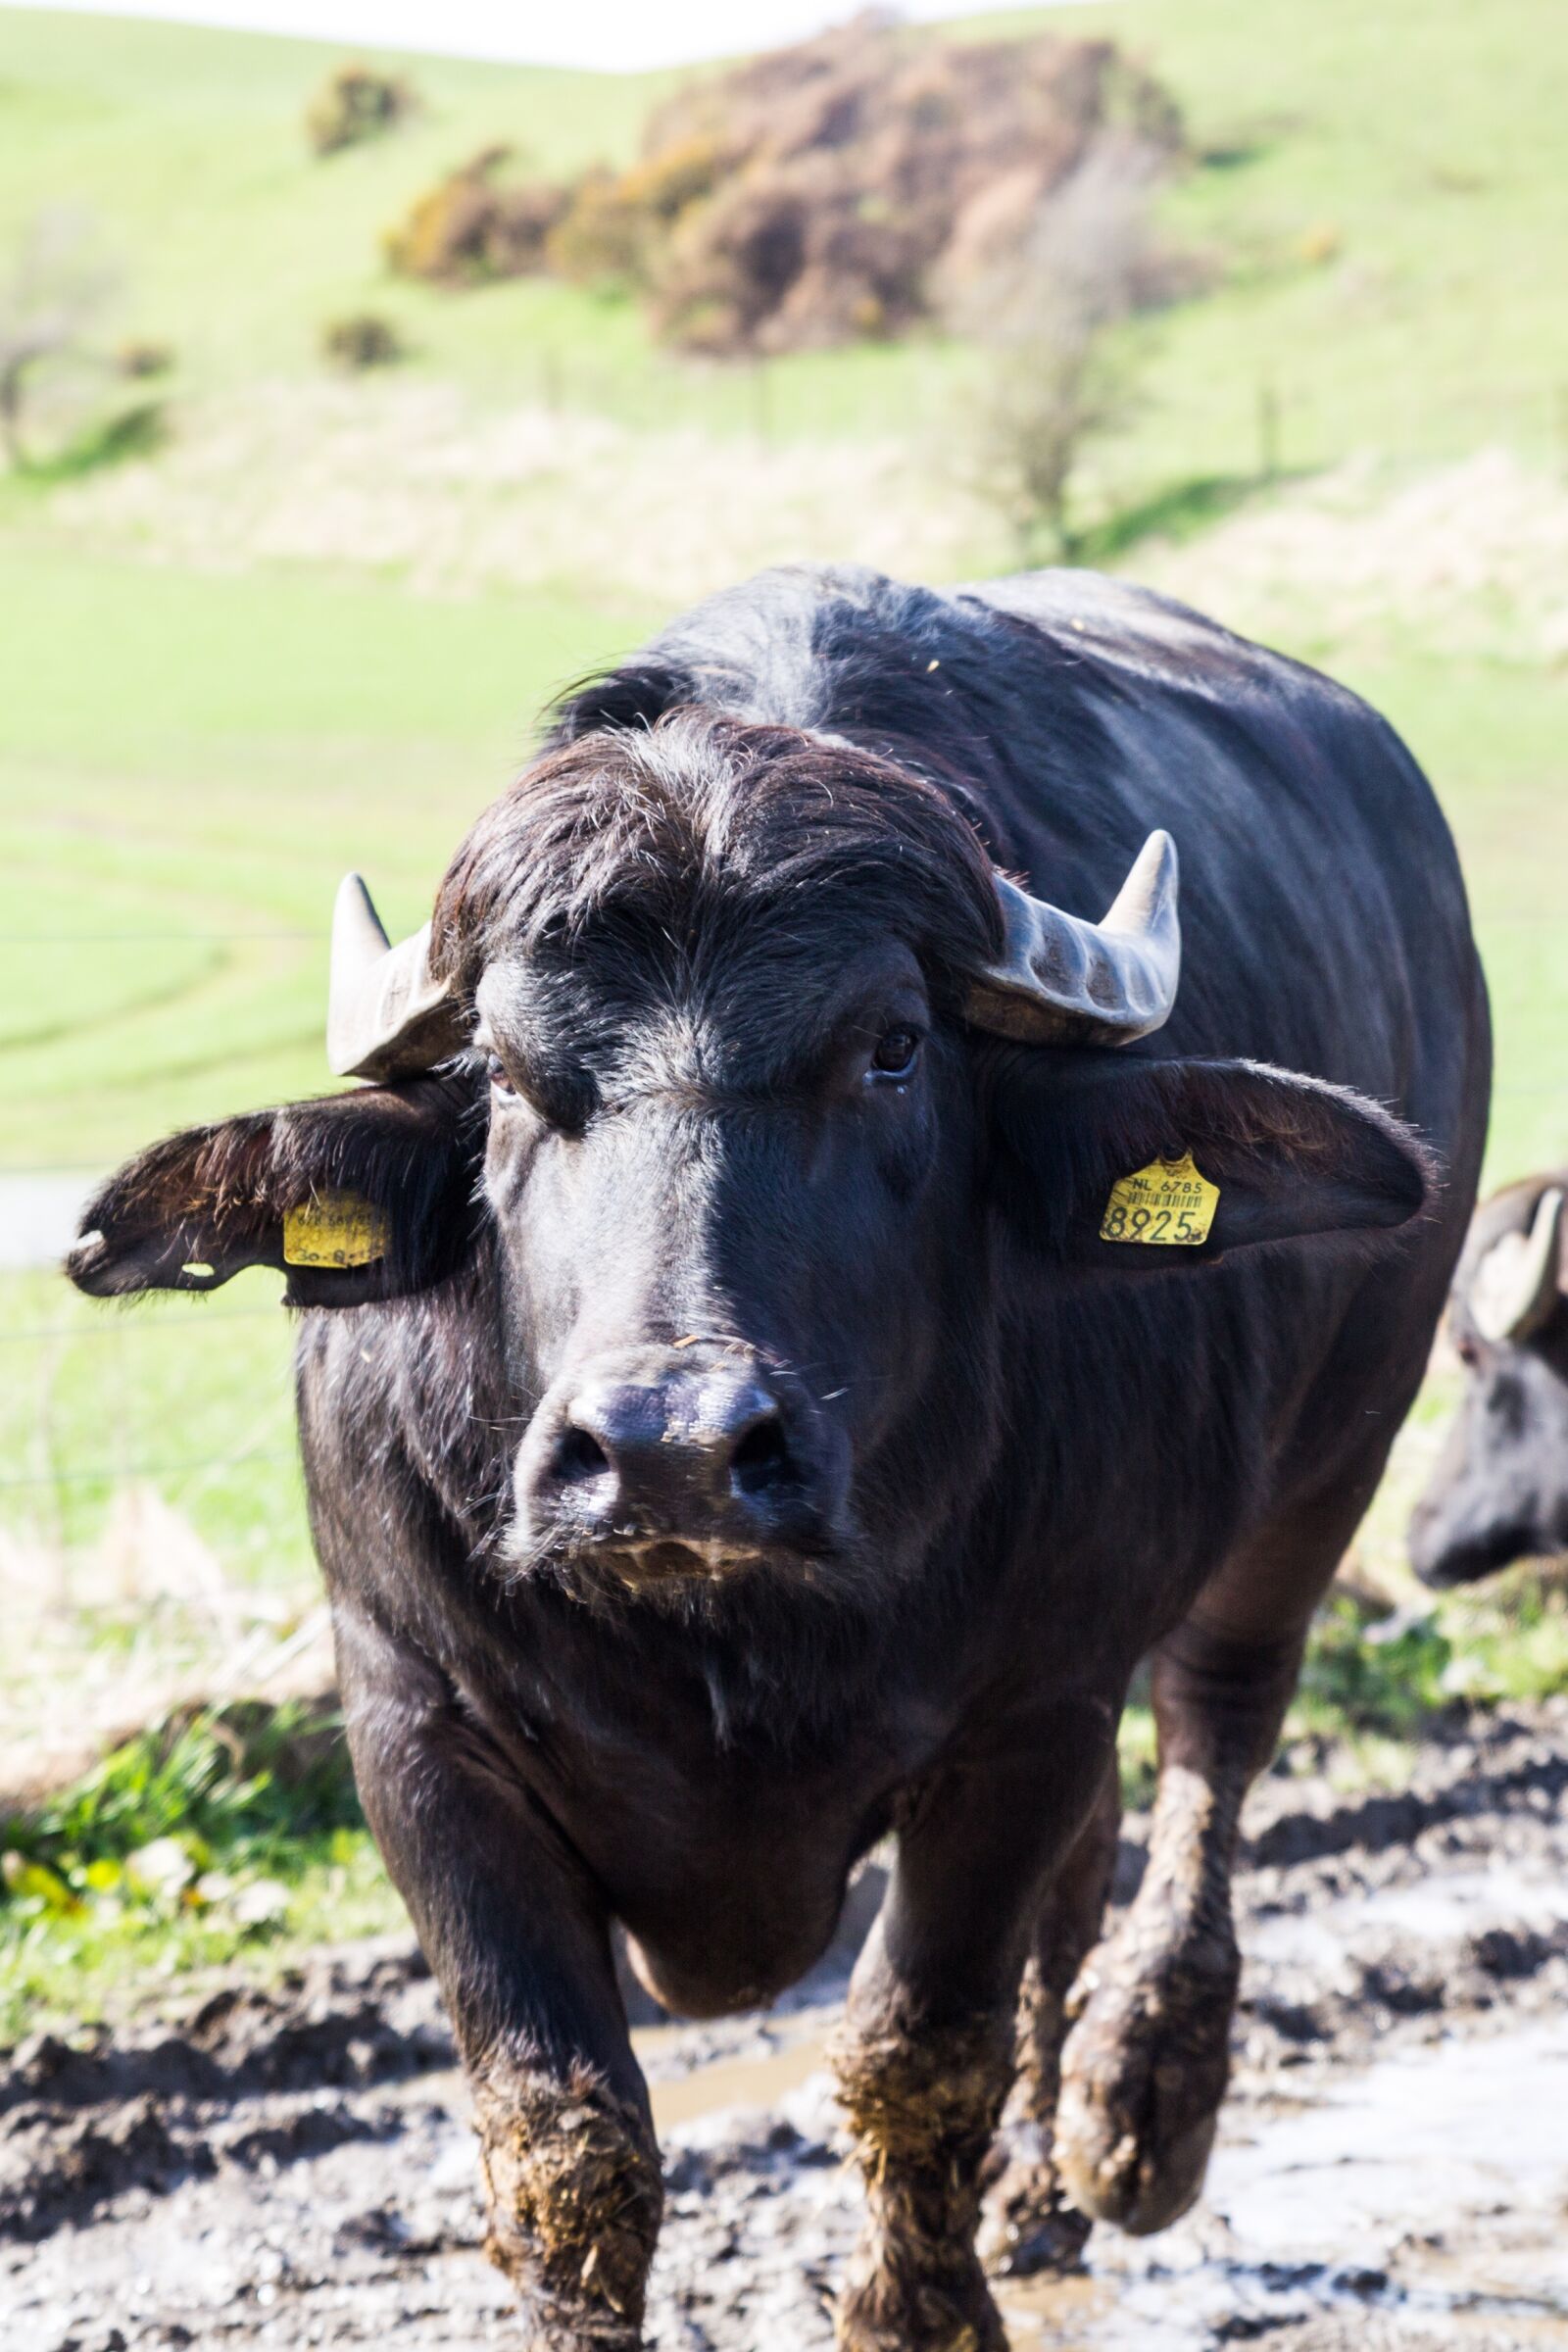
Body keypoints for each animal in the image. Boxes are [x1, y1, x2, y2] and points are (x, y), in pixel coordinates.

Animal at [68, 564, 1489, 2351]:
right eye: (509, 1074)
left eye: (891, 1047)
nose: (666, 1449)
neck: (719, 1631)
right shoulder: (412, 1717)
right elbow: (562, 2135)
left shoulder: (1016, 1718)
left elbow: (912, 2055)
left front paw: (916, 2307)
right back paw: (1040, 2197)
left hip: (1328, 1465)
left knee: (1212, 1739)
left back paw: (1134, 2114)